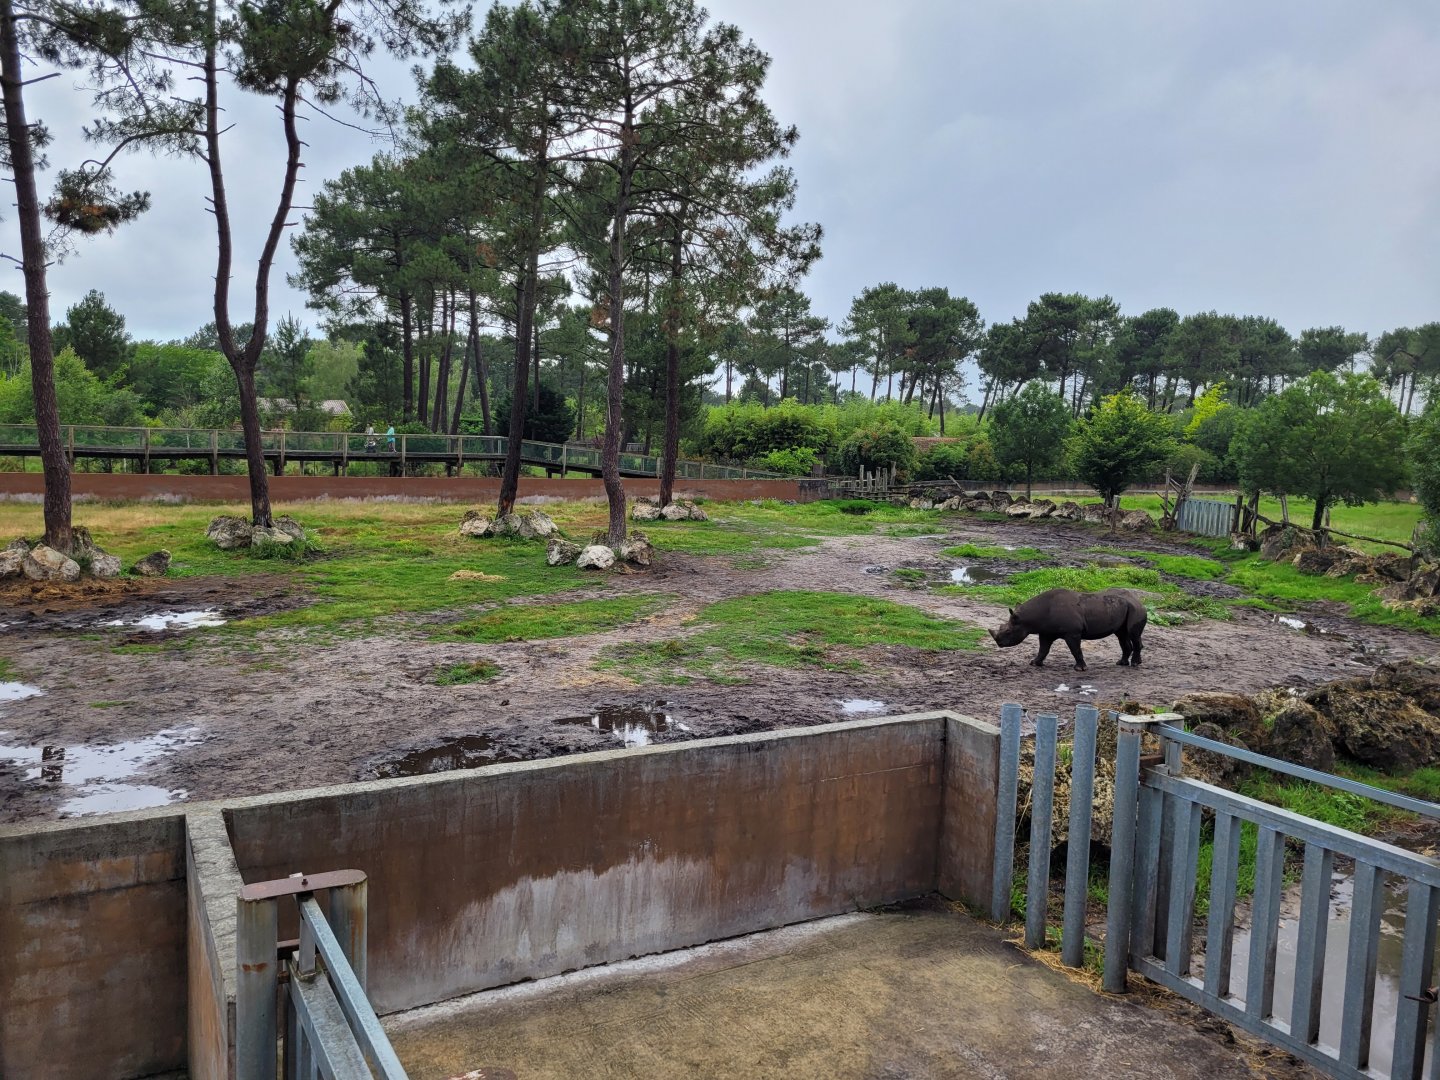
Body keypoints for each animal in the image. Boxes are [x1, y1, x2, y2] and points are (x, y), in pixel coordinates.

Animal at [989, 587, 1147, 671]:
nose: (999, 643)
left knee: (1133, 634)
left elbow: (1075, 650)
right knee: (1121, 634)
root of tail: (1139, 599)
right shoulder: (1046, 632)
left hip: (1136, 609)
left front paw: (1080, 669)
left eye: (1008, 632)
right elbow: (1043, 649)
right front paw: (1035, 663)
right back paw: (1121, 663)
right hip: (1121, 607)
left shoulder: (1072, 633)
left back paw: (1134, 664)